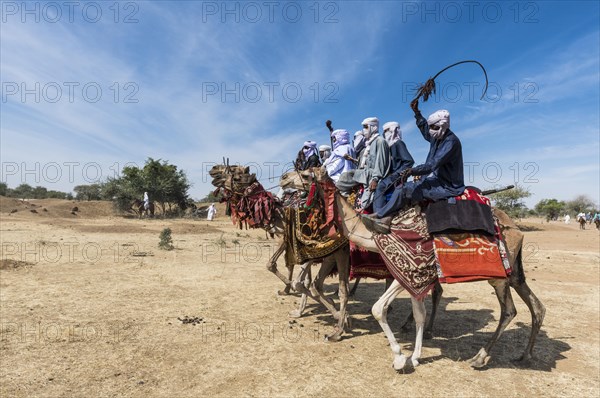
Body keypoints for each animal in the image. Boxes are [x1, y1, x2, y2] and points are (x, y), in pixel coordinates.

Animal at [288, 168, 548, 370]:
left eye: (304, 174)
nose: (283, 180)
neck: (375, 234)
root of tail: (517, 230)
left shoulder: (408, 270)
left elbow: (379, 308)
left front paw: (399, 357)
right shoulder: (413, 277)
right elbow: (418, 313)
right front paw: (414, 356)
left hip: (500, 276)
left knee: (509, 311)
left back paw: (480, 357)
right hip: (514, 272)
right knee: (537, 306)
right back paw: (525, 355)